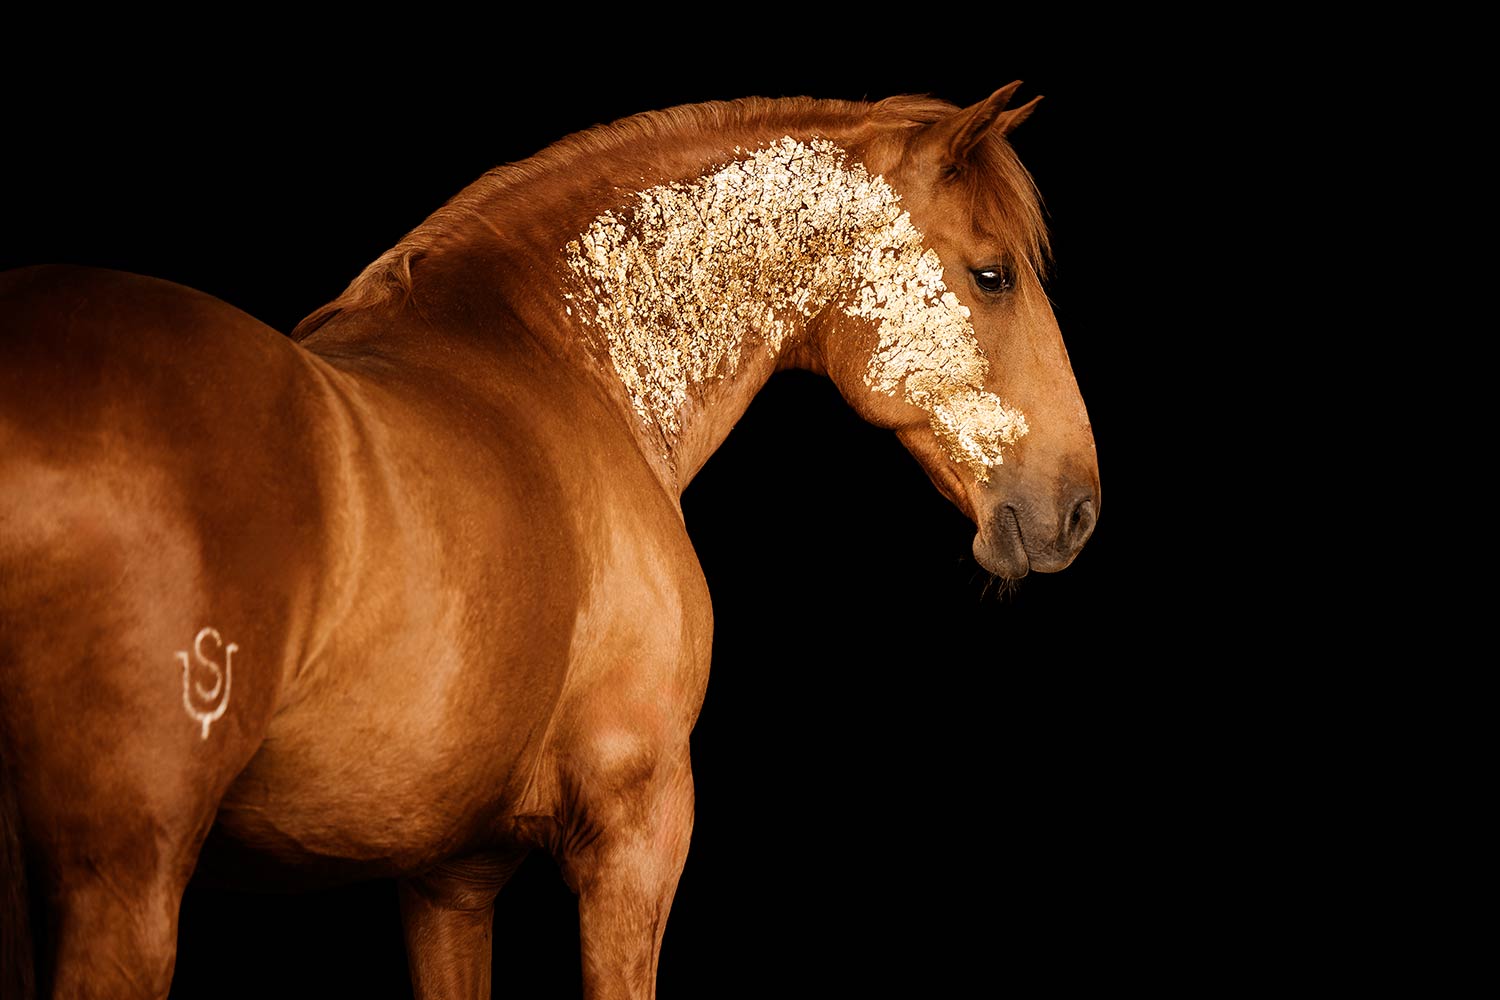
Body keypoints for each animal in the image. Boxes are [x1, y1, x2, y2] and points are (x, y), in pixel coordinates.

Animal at [0, 81, 1098, 998]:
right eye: (992, 275)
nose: (1078, 506)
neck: (563, 358)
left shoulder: (446, 874)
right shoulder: (638, 834)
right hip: (123, 886)